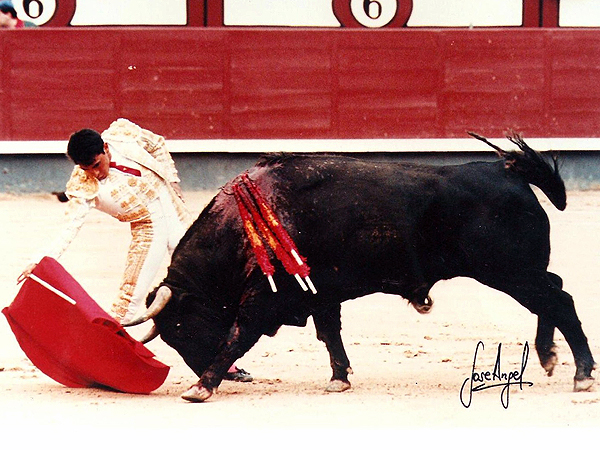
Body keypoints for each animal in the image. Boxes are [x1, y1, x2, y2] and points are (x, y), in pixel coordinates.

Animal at [125, 135, 596, 402]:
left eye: (183, 328)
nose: (234, 378)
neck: (245, 223)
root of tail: (507, 171)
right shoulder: (318, 293)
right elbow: (329, 333)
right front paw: (339, 379)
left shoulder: (265, 298)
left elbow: (238, 335)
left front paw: (201, 387)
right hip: (519, 271)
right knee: (552, 295)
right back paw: (550, 358)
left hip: (509, 271)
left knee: (559, 299)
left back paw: (582, 375)